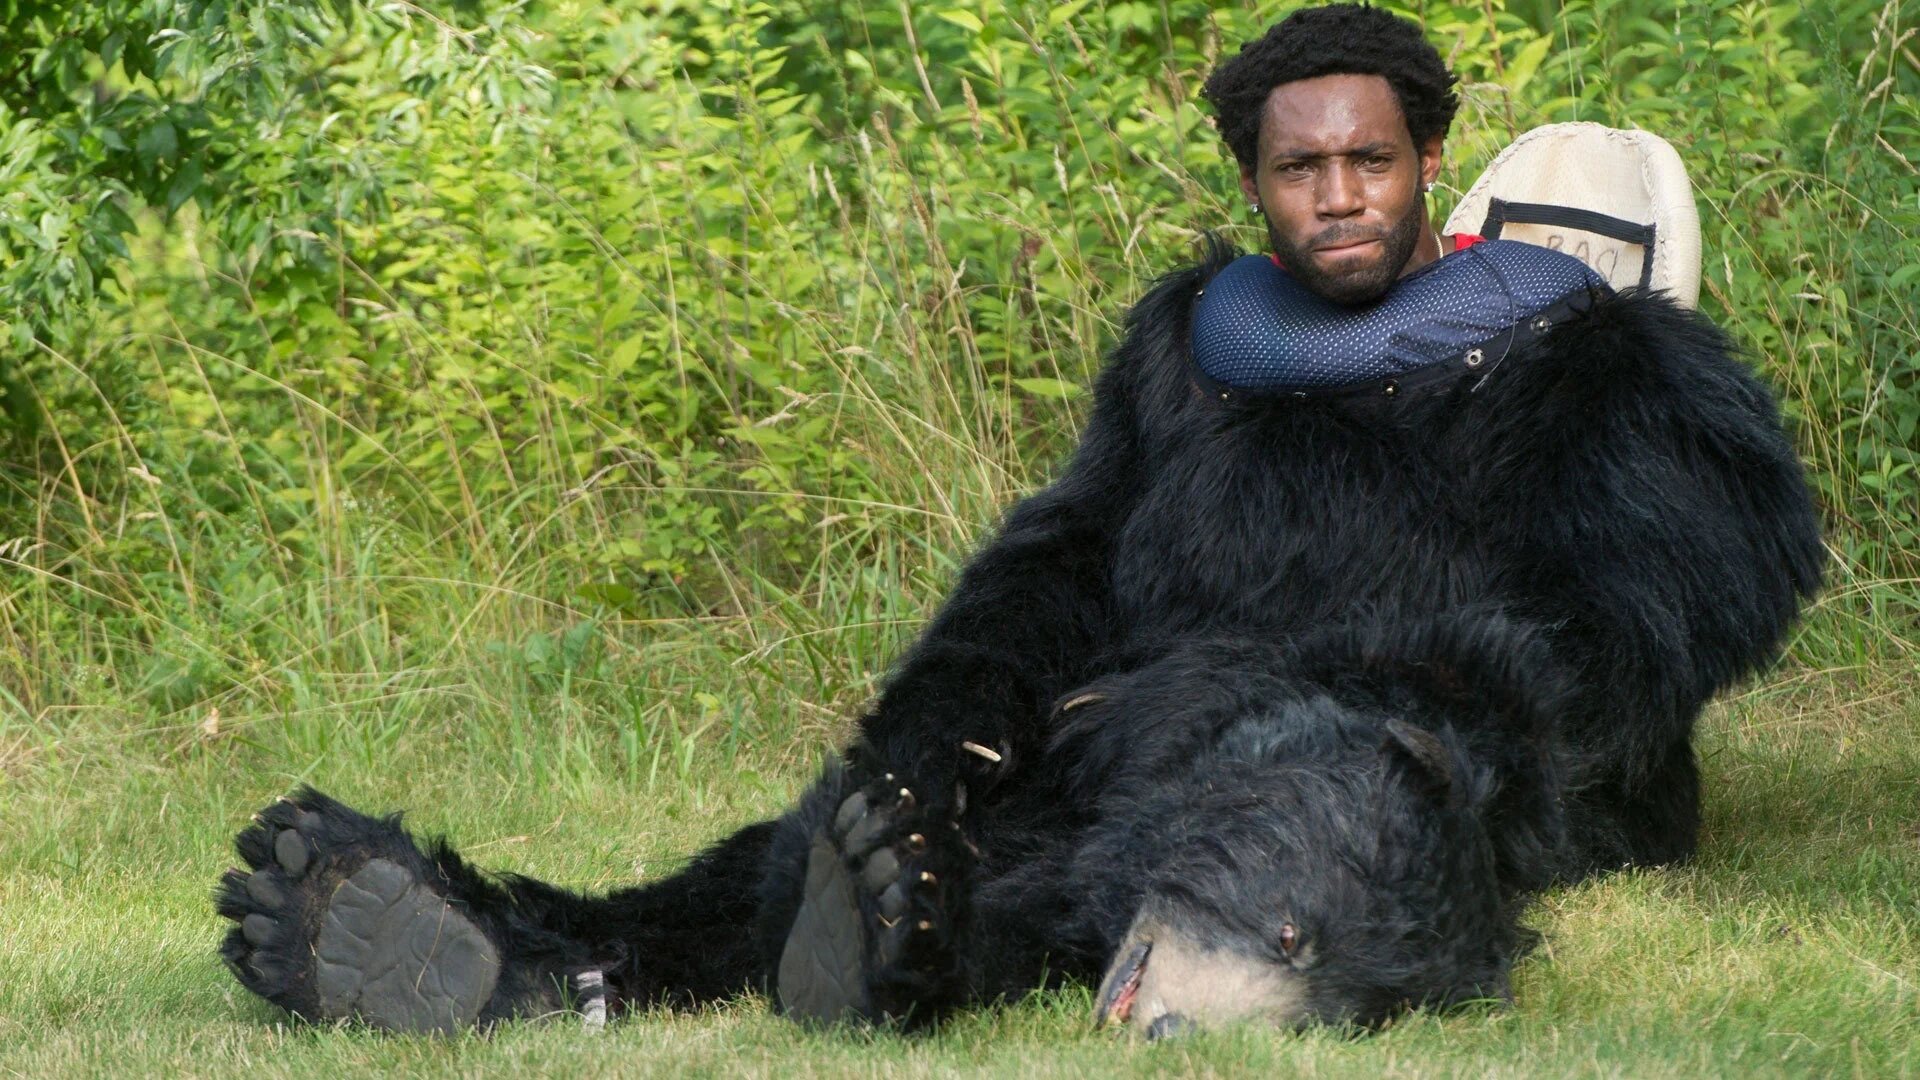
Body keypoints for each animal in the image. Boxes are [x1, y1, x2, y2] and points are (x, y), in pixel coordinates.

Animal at [213, 238, 1823, 1037]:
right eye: (1289, 932)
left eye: (1348, 988)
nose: (1172, 1021)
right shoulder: (1172, 398)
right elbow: (1065, 549)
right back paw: (361, 917)